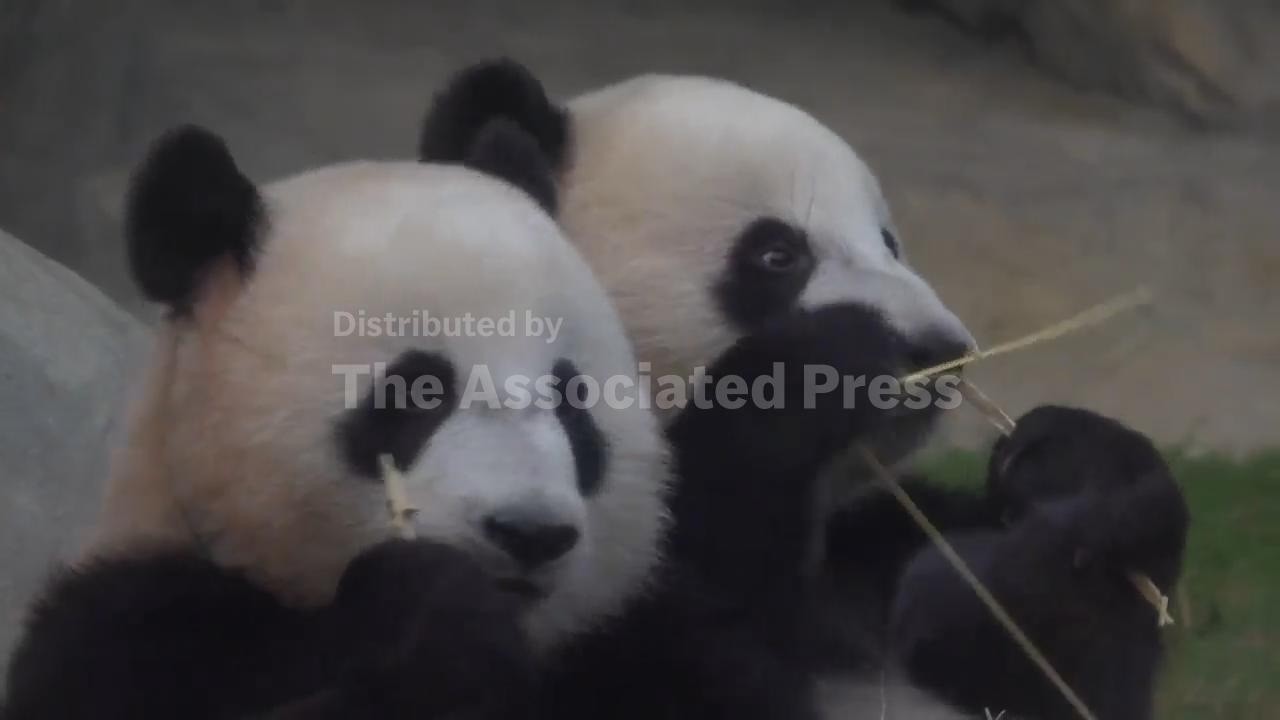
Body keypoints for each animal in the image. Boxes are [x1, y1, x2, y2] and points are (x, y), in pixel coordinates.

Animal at [415, 59, 1190, 720]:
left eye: (889, 242)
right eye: (777, 254)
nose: (940, 351)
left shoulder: (865, 555)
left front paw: (1076, 476)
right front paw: (823, 367)